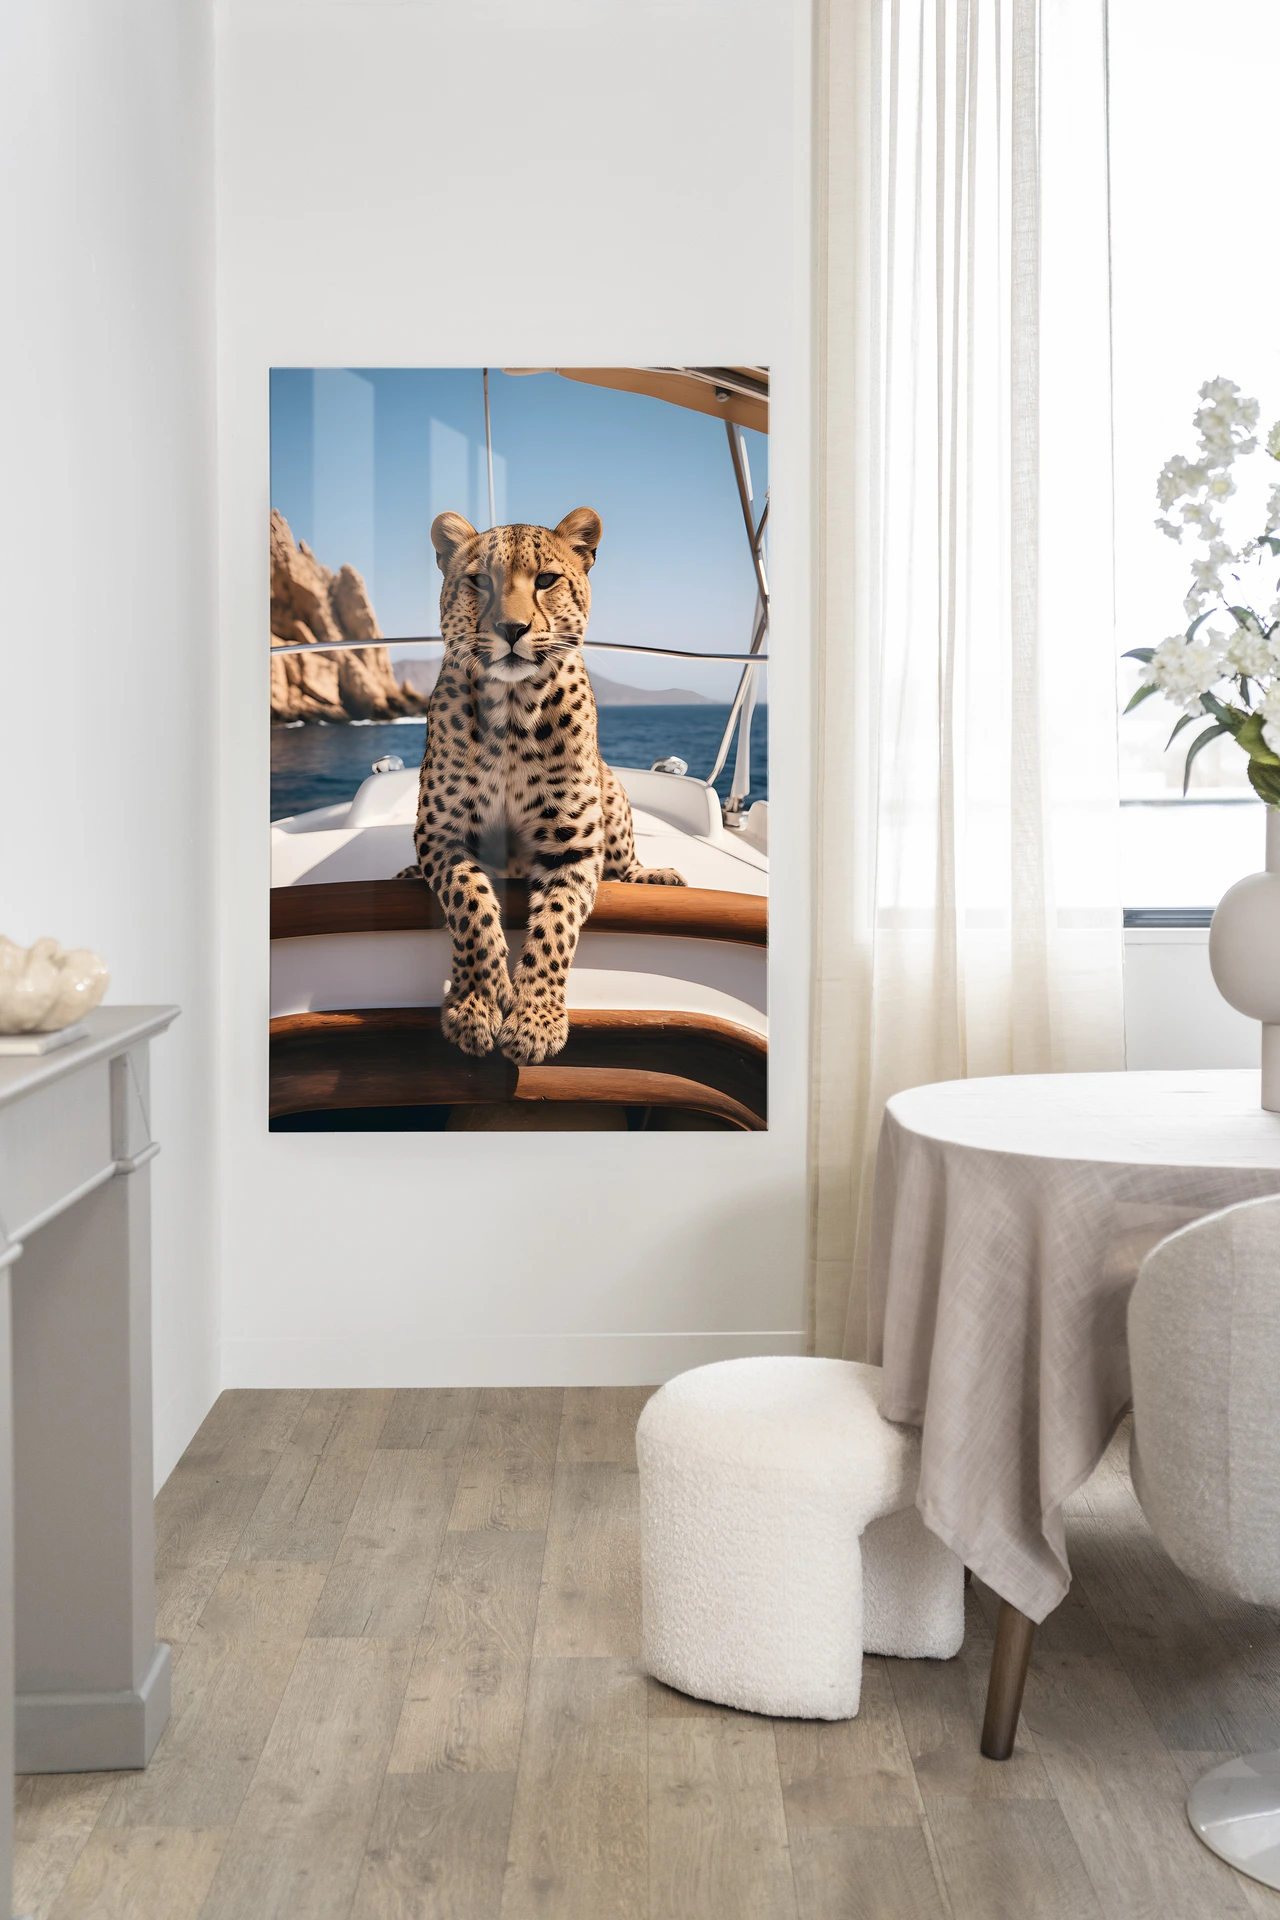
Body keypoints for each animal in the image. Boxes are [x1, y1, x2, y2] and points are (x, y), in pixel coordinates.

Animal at [398, 506, 686, 1066]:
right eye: (480, 582)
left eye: (547, 580)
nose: (512, 628)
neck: (512, 713)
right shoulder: (442, 834)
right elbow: (471, 905)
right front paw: (478, 1002)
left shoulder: (572, 847)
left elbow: (554, 927)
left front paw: (535, 1021)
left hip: (613, 791)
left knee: (624, 864)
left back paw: (654, 877)